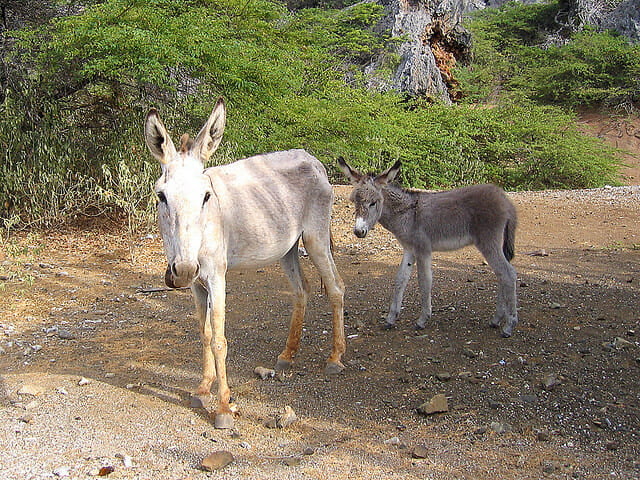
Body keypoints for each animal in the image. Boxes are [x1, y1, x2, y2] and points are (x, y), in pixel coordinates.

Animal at [338, 158, 516, 338]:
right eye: (354, 202)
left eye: (373, 203)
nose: (359, 231)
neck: (408, 214)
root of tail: (505, 199)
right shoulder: (409, 249)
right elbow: (400, 279)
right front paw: (391, 318)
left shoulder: (423, 249)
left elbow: (424, 281)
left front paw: (422, 320)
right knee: (502, 274)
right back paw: (496, 320)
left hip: (488, 242)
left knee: (508, 274)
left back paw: (509, 326)